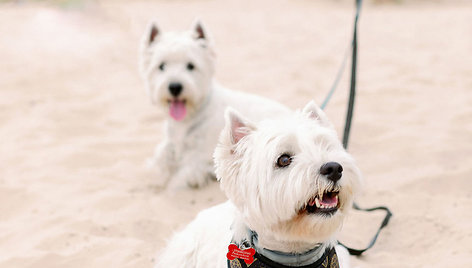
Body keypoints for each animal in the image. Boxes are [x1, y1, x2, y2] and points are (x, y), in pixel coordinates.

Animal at [138, 20, 290, 188]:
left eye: (190, 66)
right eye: (161, 66)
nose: (175, 87)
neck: (187, 120)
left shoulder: (197, 160)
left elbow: (179, 179)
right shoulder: (171, 146)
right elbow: (160, 159)